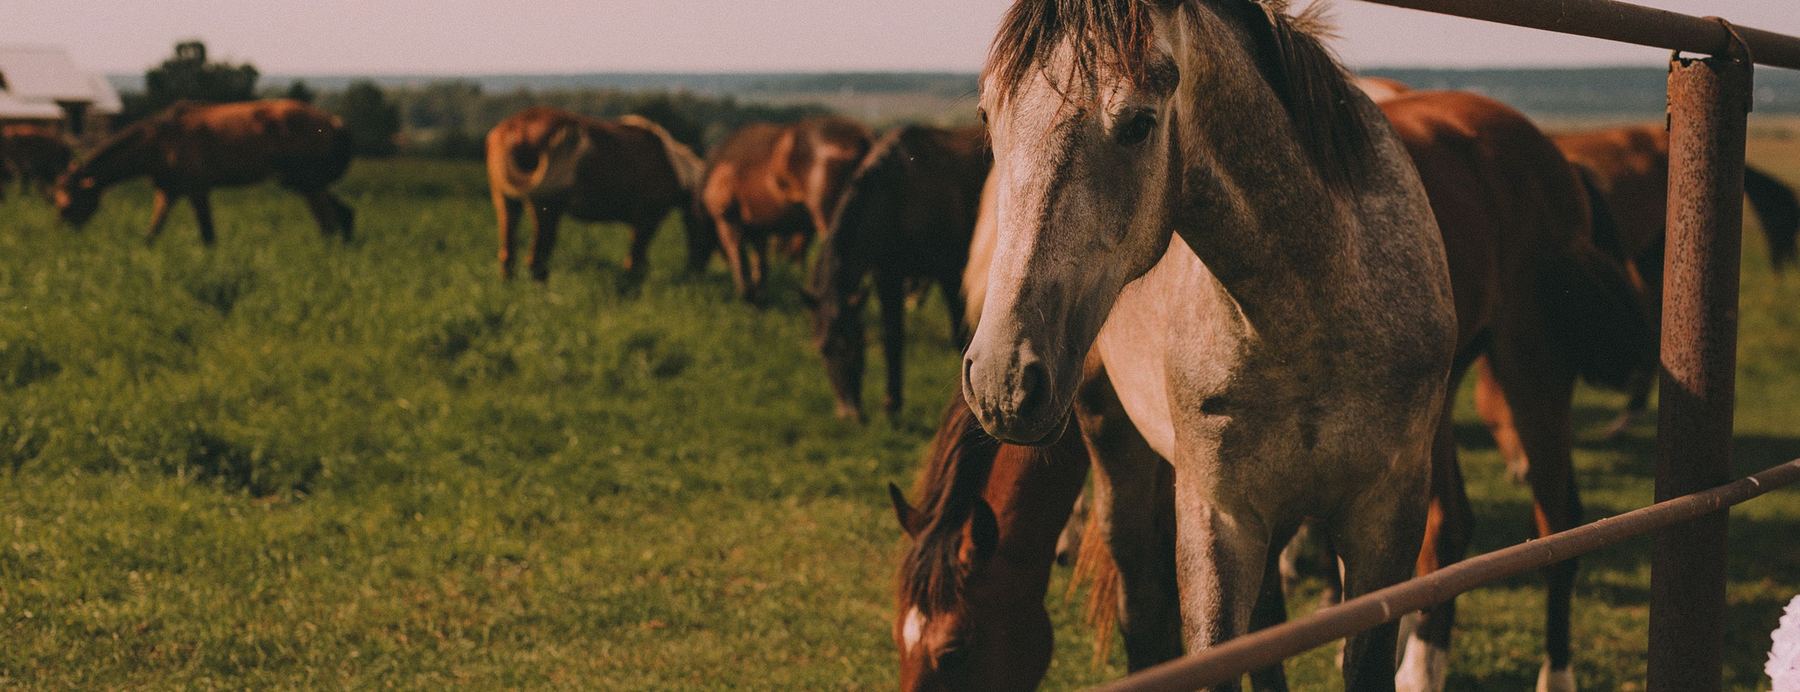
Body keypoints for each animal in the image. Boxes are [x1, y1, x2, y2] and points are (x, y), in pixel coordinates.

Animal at [53, 99, 354, 244]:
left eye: (68, 206)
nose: (64, 238)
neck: (159, 144)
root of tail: (334, 121)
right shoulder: (167, 192)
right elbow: (151, 236)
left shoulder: (197, 190)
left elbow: (208, 236)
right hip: (307, 183)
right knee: (344, 214)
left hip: (307, 183)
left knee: (329, 223)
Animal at [485, 107, 709, 282]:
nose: (695, 271)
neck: (672, 167)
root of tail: (515, 128)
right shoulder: (647, 220)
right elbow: (635, 261)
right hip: (545, 211)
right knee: (536, 259)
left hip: (506, 203)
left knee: (508, 254)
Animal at [696, 117, 872, 303]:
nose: (698, 272)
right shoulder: (758, 227)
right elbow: (761, 262)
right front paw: (758, 296)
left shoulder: (727, 218)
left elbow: (739, 256)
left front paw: (746, 295)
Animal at [807, 125, 990, 421]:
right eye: (823, 348)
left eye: (855, 345)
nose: (849, 413)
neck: (895, 198)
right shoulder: (888, 277)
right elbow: (893, 336)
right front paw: (892, 404)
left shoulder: (949, 273)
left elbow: (960, 335)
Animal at [963, 2, 1458, 690]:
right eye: (989, 115)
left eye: (1138, 125)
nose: (1002, 381)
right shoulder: (1218, 520)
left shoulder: (1388, 517)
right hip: (1114, 446)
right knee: (1143, 609)